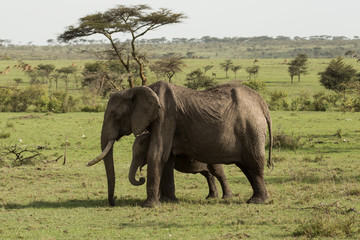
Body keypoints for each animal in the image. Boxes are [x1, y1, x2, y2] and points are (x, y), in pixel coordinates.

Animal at [88, 81, 272, 207]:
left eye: (114, 115)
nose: (113, 202)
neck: (143, 89)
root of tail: (263, 105)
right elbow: (167, 158)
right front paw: (168, 201)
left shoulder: (166, 116)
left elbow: (157, 154)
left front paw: (150, 206)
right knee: (246, 167)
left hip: (251, 128)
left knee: (253, 163)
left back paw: (256, 201)